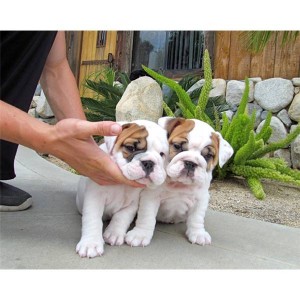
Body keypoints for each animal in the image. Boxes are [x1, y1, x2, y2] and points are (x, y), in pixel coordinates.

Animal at [75, 120, 169, 258]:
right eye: (131, 148)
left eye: (162, 154)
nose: (149, 163)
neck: (122, 184)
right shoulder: (95, 198)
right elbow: (93, 219)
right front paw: (90, 244)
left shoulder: (132, 204)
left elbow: (121, 217)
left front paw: (114, 233)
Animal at [125, 116, 233, 246]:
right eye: (177, 146)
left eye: (208, 156)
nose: (190, 163)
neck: (179, 184)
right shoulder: (151, 196)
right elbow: (147, 216)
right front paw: (140, 234)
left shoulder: (201, 199)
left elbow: (197, 217)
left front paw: (198, 233)